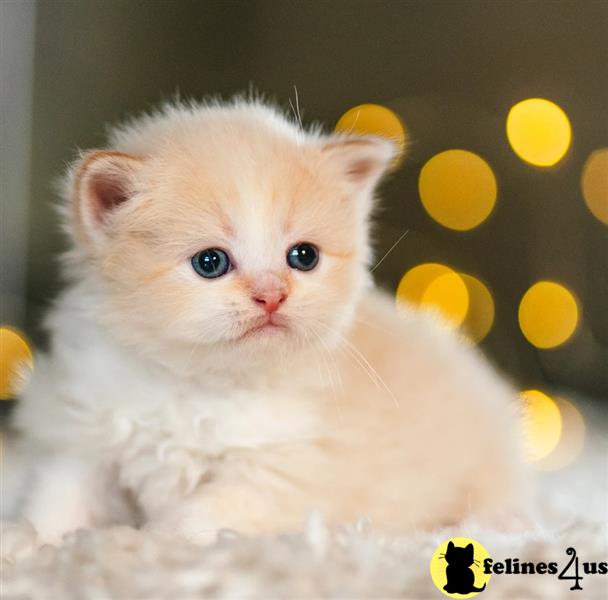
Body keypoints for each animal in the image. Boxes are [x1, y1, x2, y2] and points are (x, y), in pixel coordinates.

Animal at [2, 97, 528, 544]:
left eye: (303, 257)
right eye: (210, 262)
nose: (272, 295)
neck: (197, 384)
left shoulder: (280, 474)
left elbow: (196, 521)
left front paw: (147, 546)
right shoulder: (82, 433)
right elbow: (59, 502)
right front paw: (30, 544)